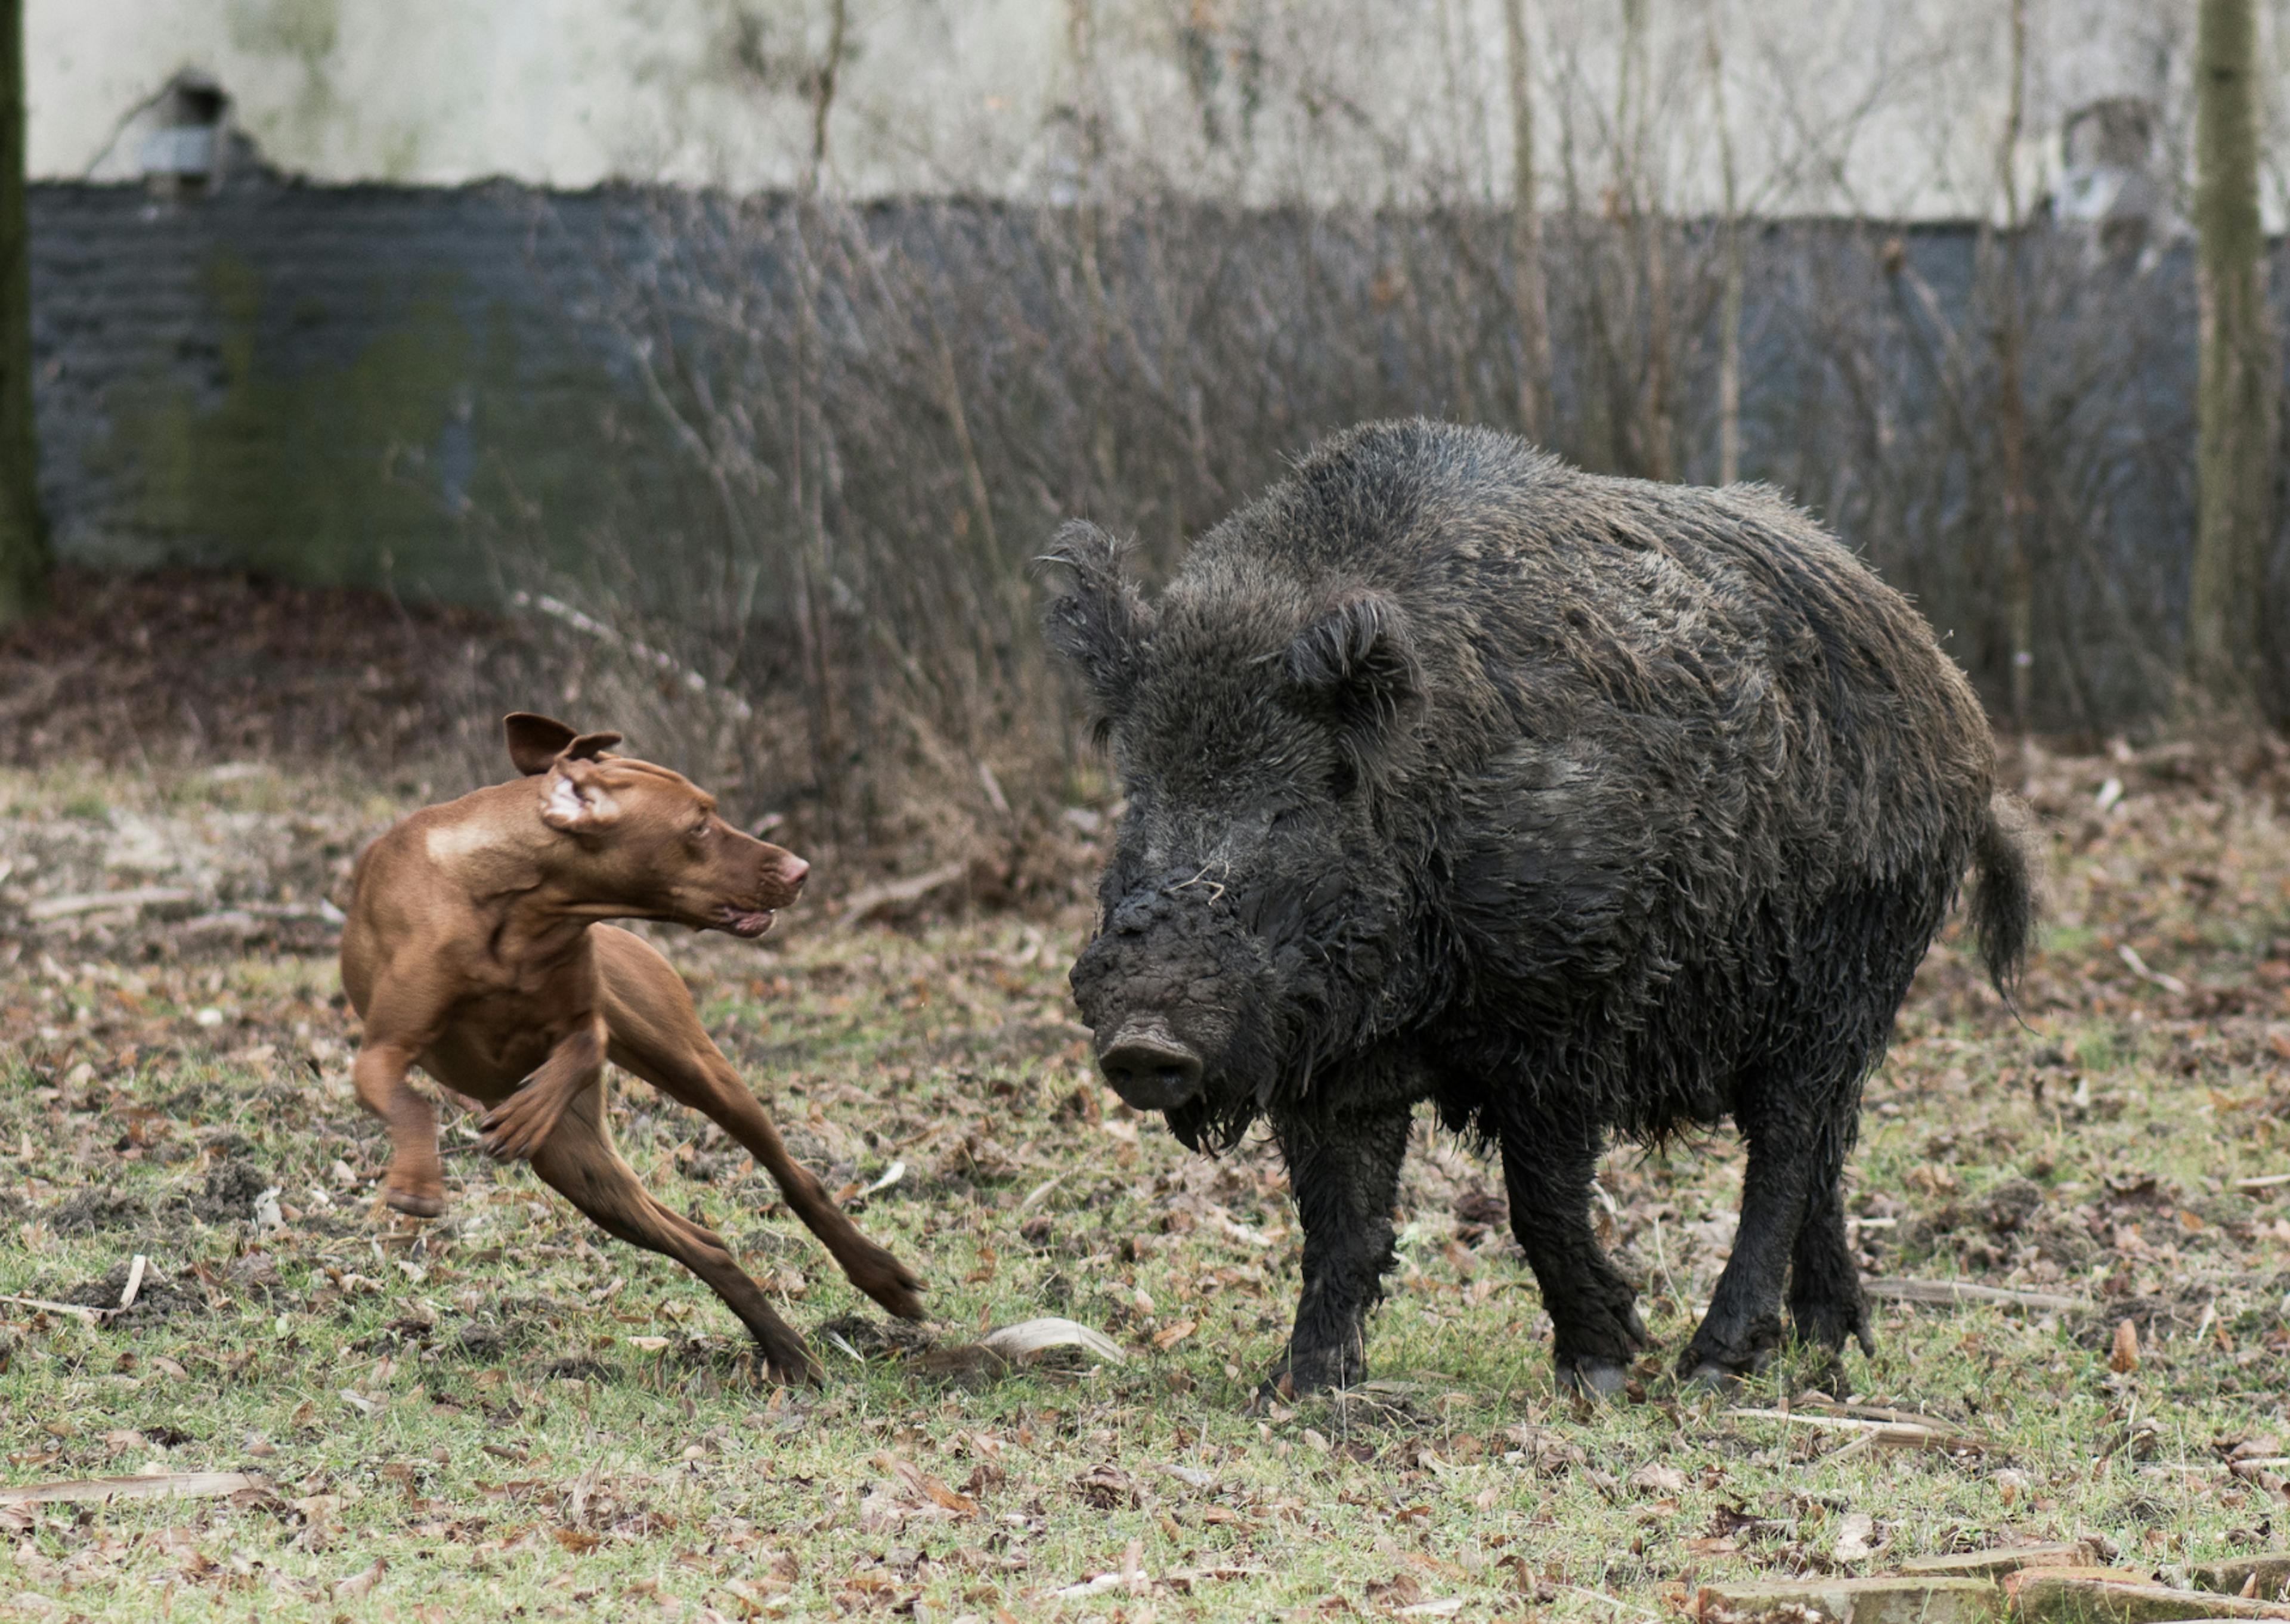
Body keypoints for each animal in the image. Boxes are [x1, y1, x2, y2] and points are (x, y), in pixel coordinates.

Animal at [336, 714, 920, 1383]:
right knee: (705, 1246)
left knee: (794, 1175)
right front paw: (418, 1182)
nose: (800, 869)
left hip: (693, 1069)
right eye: (699, 825)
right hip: (581, 1171)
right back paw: (787, 1354)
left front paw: (529, 1108)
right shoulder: (380, 1052)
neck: (517, 910)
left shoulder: (586, 1014)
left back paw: (879, 1280)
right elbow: (411, 1101)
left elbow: (585, 1042)